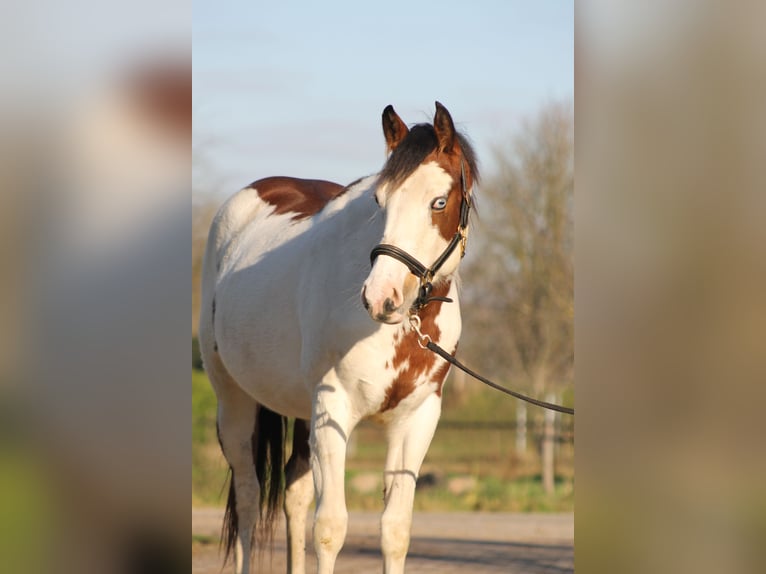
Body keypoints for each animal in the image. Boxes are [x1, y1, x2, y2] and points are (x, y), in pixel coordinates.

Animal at [200, 101, 480, 572]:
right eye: (379, 201)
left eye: (439, 201)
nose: (381, 297)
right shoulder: (333, 408)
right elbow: (330, 529)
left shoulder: (417, 420)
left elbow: (395, 531)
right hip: (235, 403)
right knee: (250, 499)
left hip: (299, 410)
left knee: (293, 495)